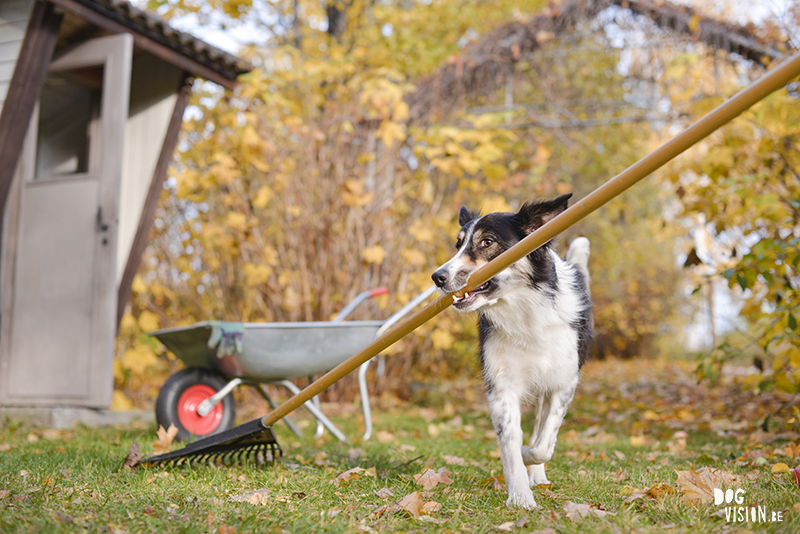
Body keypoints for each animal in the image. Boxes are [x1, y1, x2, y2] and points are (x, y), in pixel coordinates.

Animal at [432, 196, 592, 510]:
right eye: (458, 244)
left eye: (487, 242)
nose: (437, 277)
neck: (524, 310)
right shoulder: (501, 384)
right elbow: (510, 441)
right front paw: (520, 497)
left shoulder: (564, 380)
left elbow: (543, 443)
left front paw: (530, 458)